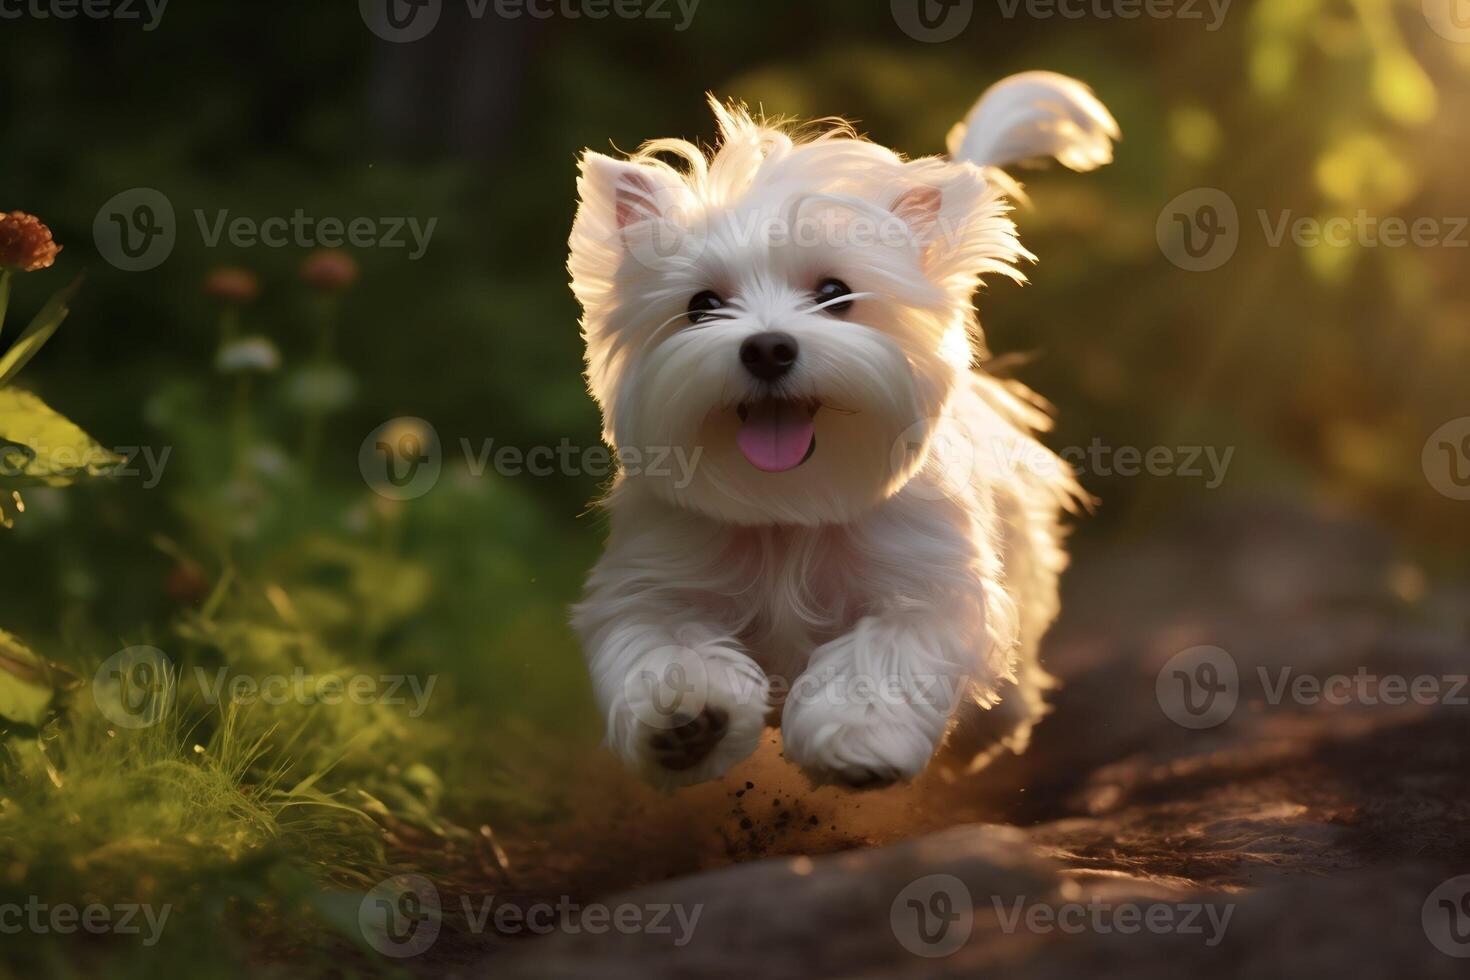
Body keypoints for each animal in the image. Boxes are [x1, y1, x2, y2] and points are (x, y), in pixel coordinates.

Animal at [564, 70, 1111, 787]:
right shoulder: (655, 582)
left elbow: (885, 651)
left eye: (834, 293)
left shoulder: (928, 585)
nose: (768, 348)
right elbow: (668, 642)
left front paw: (860, 737)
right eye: (702, 305)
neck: (791, 510)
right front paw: (686, 719)